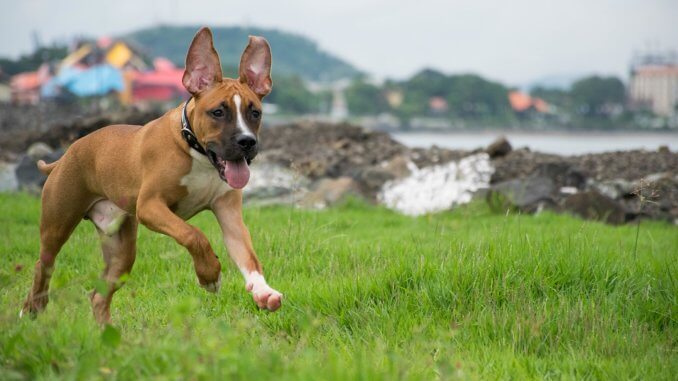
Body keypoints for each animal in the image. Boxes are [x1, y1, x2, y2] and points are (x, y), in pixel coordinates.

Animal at [20, 27, 282, 324]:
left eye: (255, 113)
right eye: (218, 112)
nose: (247, 141)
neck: (199, 154)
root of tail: (65, 156)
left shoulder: (230, 216)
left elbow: (248, 256)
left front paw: (263, 291)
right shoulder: (150, 206)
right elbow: (194, 234)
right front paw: (209, 275)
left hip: (121, 250)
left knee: (99, 295)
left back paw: (105, 330)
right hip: (58, 223)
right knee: (44, 264)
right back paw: (32, 308)